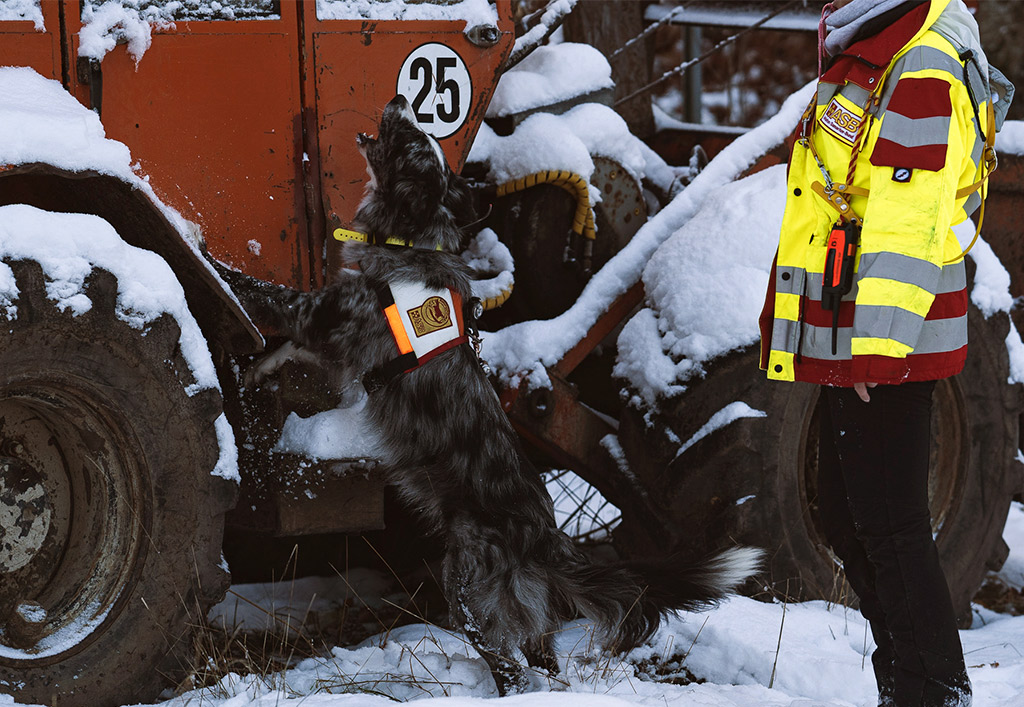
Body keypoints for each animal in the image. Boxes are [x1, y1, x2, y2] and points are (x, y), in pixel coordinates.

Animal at [216, 93, 761, 692]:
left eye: (410, 139)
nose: (401, 99)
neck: (411, 240)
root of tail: (549, 543)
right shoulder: (331, 337)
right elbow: (285, 348)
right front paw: (254, 370)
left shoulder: (322, 315)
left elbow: (264, 293)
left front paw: (202, 254)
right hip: (523, 612)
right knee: (540, 656)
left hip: (467, 589)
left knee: (508, 662)